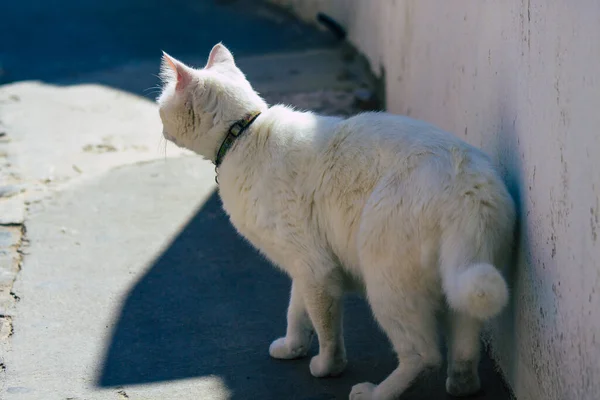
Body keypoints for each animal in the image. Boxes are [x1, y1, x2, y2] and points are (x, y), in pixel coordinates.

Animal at [158, 43, 516, 400]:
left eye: (161, 108)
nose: (159, 127)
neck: (242, 132)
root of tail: (467, 184)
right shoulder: (304, 265)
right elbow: (297, 310)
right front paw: (293, 347)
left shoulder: (316, 268)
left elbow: (325, 328)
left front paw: (327, 367)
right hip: (462, 289)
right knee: (465, 348)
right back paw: (460, 385)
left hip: (384, 281)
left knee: (424, 355)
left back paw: (375, 393)